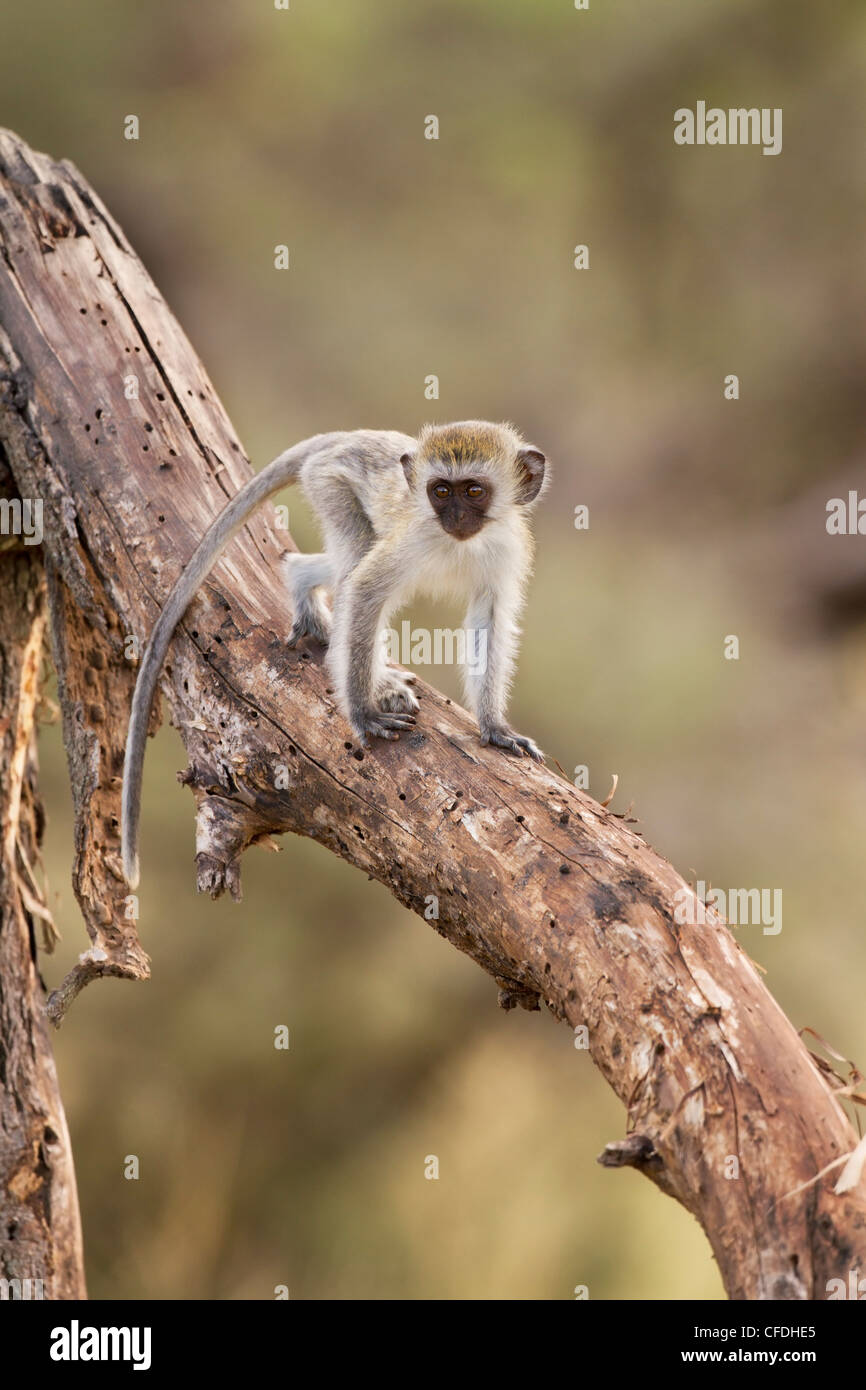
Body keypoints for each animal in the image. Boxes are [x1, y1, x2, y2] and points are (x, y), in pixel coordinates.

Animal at [120, 417, 547, 884]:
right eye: (440, 491)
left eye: (472, 491)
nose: (454, 517)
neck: (460, 543)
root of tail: (351, 437)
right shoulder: (413, 534)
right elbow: (364, 591)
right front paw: (362, 712)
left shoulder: (505, 551)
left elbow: (490, 621)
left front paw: (494, 726)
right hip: (329, 483)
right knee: (355, 561)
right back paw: (372, 677)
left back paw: (302, 581)